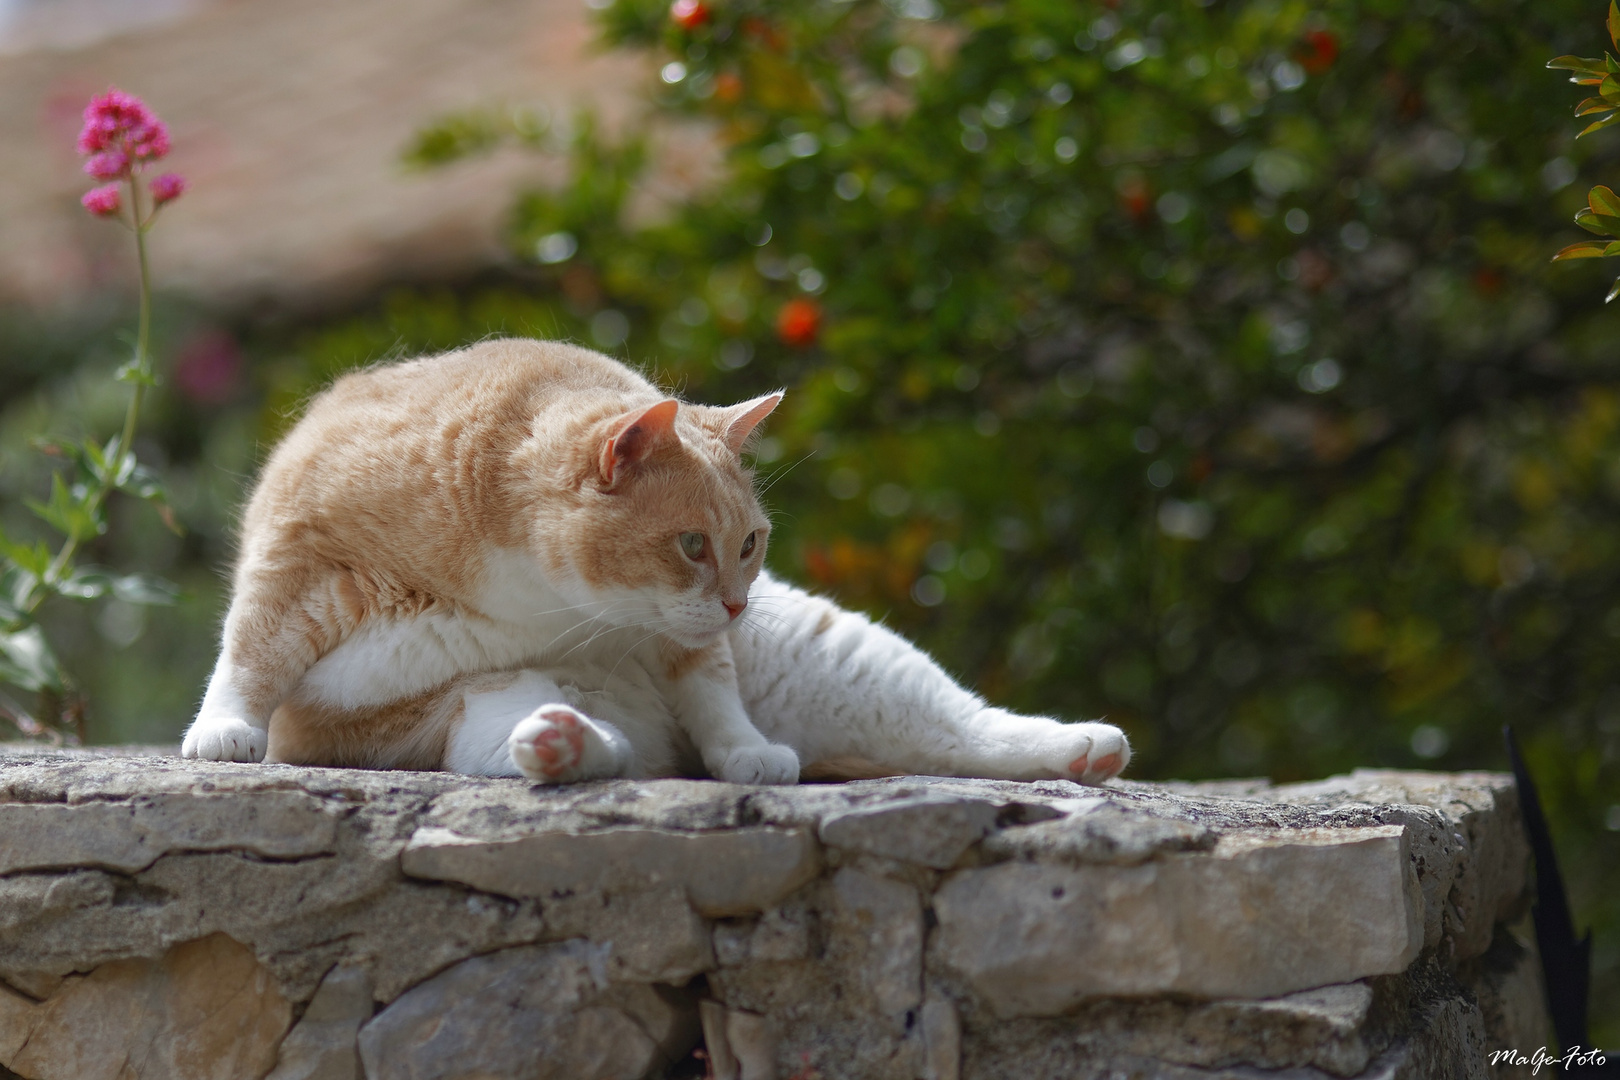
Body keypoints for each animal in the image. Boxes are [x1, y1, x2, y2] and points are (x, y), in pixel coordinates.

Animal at [183, 341, 1134, 790]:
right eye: (692, 544)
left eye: (749, 543)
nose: (738, 606)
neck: (537, 592)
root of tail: (654, 740)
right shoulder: (299, 558)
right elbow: (249, 652)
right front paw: (223, 730)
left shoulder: (690, 641)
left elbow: (715, 694)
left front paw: (747, 753)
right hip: (486, 704)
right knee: (567, 750)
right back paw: (568, 742)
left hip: (834, 656)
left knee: (963, 730)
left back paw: (1085, 746)